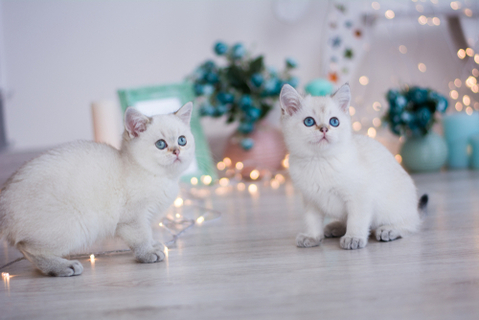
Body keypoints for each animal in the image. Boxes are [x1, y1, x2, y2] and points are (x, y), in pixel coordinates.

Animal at [0, 102, 195, 276]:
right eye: (160, 144)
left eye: (182, 140)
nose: (177, 151)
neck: (163, 178)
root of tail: (3, 197)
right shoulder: (133, 219)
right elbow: (141, 238)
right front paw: (148, 253)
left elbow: (148, 235)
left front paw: (154, 244)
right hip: (74, 227)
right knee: (27, 248)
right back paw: (63, 267)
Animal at [280, 83, 430, 250]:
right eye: (309, 122)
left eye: (334, 122)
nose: (324, 129)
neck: (319, 161)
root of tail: (415, 209)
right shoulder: (311, 200)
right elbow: (312, 221)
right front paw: (312, 237)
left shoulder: (360, 197)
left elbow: (356, 220)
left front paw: (353, 238)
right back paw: (335, 227)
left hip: (393, 210)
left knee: (410, 225)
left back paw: (389, 230)